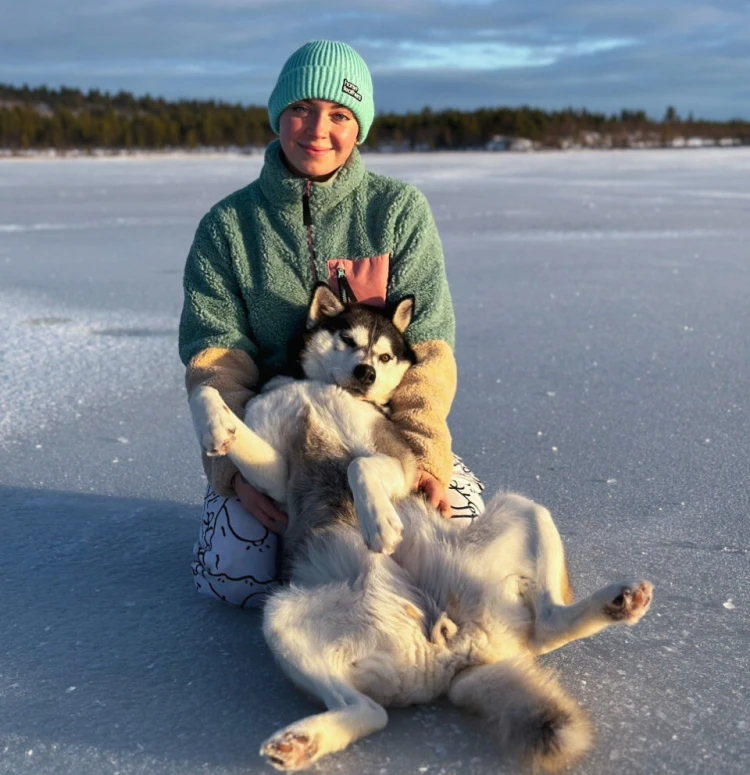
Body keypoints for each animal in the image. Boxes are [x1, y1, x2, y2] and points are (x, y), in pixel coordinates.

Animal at [191, 286, 656, 775]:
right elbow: (205, 389)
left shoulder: (399, 460)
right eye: (347, 339)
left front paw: (379, 524)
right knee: (371, 712)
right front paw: (216, 429)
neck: (317, 388)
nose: (366, 372)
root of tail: (461, 654)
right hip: (284, 616)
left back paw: (619, 603)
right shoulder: (274, 474)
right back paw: (301, 740)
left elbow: (360, 465)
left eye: (384, 354)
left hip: (523, 510)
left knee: (546, 625)